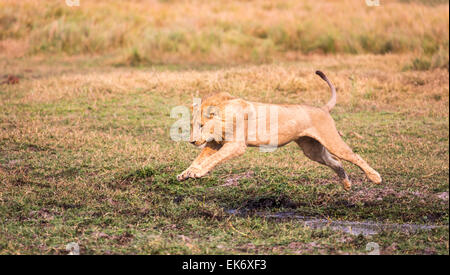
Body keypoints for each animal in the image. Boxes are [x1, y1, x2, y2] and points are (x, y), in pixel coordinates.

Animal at [178, 71, 382, 191]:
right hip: (312, 150)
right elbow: (200, 158)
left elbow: (212, 160)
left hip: (332, 141)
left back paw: (375, 177)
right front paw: (186, 173)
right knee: (336, 162)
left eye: (201, 125)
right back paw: (346, 184)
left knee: (353, 156)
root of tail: (322, 109)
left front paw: (197, 173)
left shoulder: (236, 146)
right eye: (192, 126)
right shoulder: (214, 143)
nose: (192, 141)